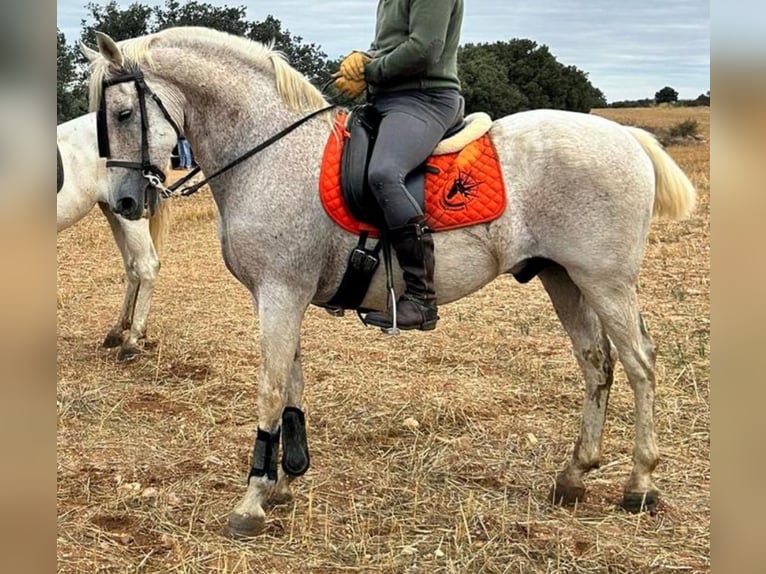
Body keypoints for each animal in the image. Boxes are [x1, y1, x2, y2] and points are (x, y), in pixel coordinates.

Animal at [57, 112, 171, 360]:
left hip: (131, 215)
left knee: (147, 266)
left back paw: (132, 340)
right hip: (113, 211)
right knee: (132, 267)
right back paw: (119, 330)